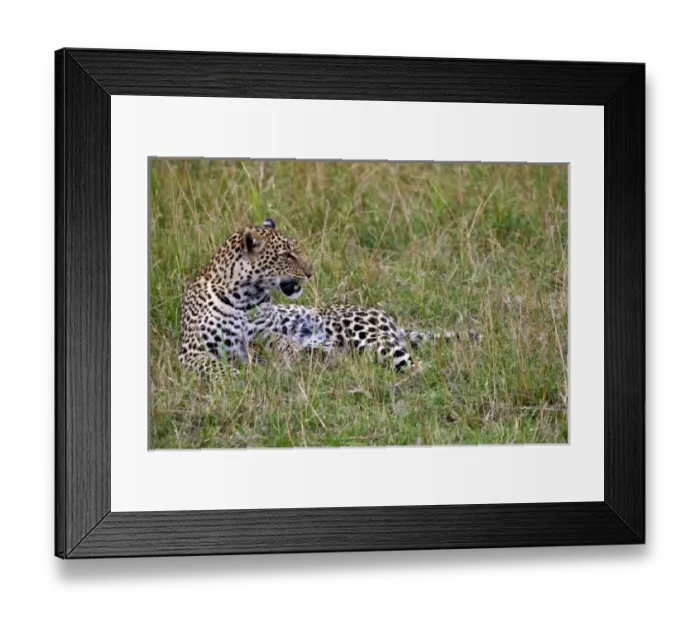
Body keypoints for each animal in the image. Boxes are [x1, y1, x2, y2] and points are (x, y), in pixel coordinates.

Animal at [178, 218, 313, 377]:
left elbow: (291, 353)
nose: (311, 273)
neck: (245, 297)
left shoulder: (272, 337)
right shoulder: (193, 352)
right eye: (286, 255)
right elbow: (224, 371)